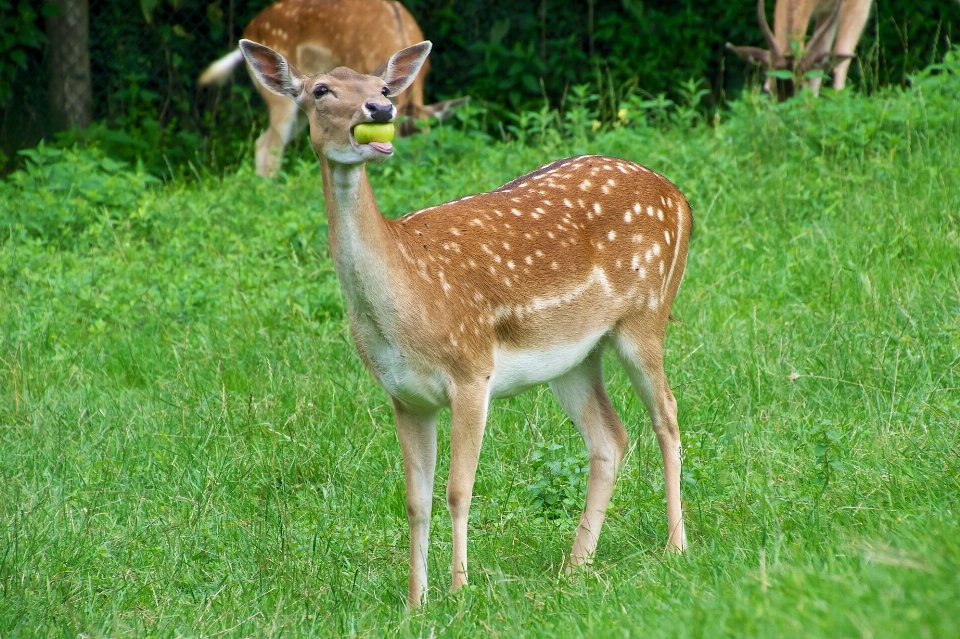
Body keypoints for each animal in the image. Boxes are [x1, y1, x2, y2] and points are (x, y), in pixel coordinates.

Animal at [238, 37, 688, 608]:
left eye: (383, 87)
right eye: (320, 89)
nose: (379, 111)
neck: (406, 303)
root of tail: (680, 197)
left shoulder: (472, 371)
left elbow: (458, 490)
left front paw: (458, 590)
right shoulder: (404, 395)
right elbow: (415, 500)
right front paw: (415, 602)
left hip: (646, 315)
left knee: (667, 416)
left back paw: (675, 546)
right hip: (573, 358)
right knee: (610, 437)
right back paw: (574, 566)